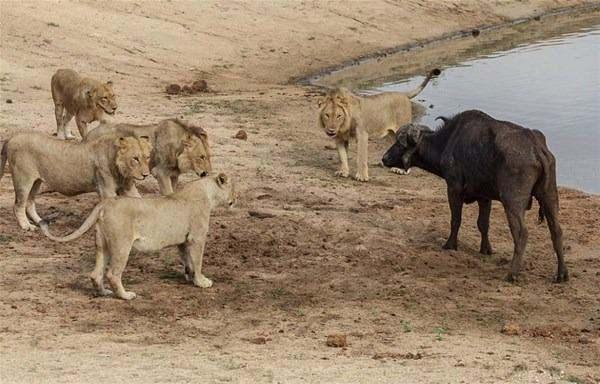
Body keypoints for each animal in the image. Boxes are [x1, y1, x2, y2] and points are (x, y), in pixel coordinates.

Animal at [0, 132, 150, 230]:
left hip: (36, 181)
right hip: (23, 180)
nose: (146, 175)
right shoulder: (107, 191)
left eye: (147, 157)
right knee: (18, 205)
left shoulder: (128, 188)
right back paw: (26, 226)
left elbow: (141, 202)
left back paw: (41, 222)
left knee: (29, 203)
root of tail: (11, 138)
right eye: (135, 158)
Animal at [38, 173, 236, 300]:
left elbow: (187, 261)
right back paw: (126, 296)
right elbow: (198, 261)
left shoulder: (183, 240)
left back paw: (104, 293)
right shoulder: (197, 237)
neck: (208, 193)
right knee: (112, 273)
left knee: (95, 274)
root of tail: (105, 204)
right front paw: (202, 282)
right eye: (233, 189)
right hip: (122, 245)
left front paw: (190, 277)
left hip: (102, 244)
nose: (236, 198)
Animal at [384, 109, 568, 282]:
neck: (448, 141)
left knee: (521, 234)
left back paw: (512, 274)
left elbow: (456, 220)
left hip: (512, 202)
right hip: (550, 196)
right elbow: (483, 224)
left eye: (399, 144)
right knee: (557, 231)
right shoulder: (484, 197)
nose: (384, 158)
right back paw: (561, 274)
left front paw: (450, 244)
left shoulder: (453, 188)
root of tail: (536, 147)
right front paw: (485, 249)